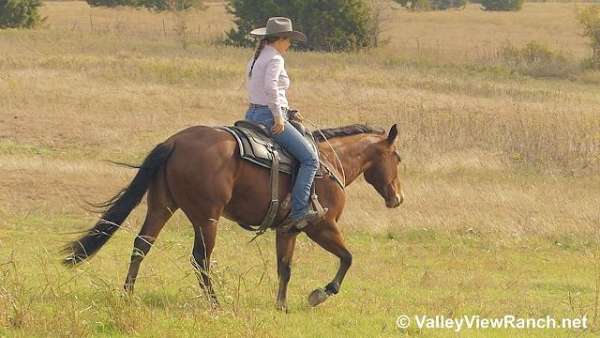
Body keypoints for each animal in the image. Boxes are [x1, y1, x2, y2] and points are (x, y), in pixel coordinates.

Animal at [62, 123, 404, 310]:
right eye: (398, 158)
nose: (398, 198)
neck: (330, 163)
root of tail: (174, 142)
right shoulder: (321, 226)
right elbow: (347, 258)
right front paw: (320, 294)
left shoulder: (288, 231)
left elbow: (285, 268)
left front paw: (281, 305)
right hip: (207, 219)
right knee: (200, 259)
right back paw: (215, 303)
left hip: (161, 207)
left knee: (141, 246)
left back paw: (127, 294)